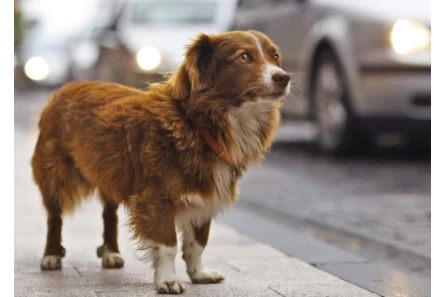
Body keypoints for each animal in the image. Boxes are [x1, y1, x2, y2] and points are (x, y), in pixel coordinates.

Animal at [30, 28, 288, 292]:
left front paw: (199, 274)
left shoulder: (205, 197)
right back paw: (51, 256)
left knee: (109, 215)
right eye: (244, 56)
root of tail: (65, 88)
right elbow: (168, 245)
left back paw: (111, 253)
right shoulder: (157, 199)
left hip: (109, 173)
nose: (284, 78)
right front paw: (168, 280)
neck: (198, 124)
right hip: (55, 176)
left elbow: (197, 243)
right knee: (54, 218)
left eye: (275, 57)